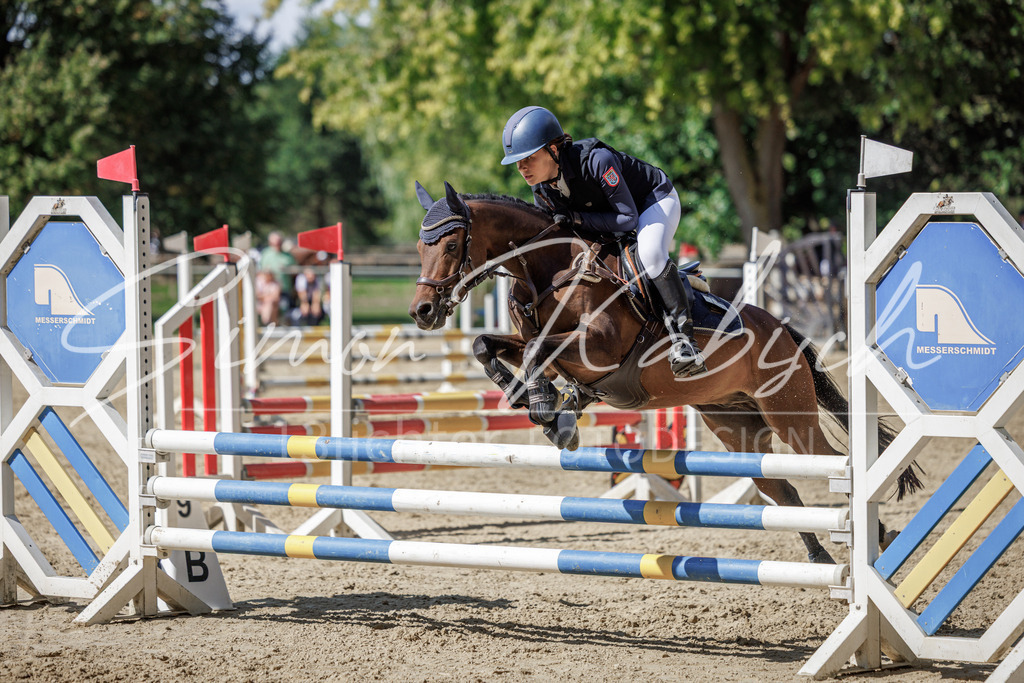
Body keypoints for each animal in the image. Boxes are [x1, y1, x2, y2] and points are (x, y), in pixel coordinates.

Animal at [408, 182, 921, 564]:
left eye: (451, 243)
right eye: (419, 246)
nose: (422, 311)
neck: (551, 271)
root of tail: (782, 330)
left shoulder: (599, 349)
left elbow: (536, 350)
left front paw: (545, 407)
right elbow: (487, 344)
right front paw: (539, 402)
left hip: (789, 414)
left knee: (829, 460)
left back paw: (875, 537)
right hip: (735, 425)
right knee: (780, 486)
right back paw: (819, 556)